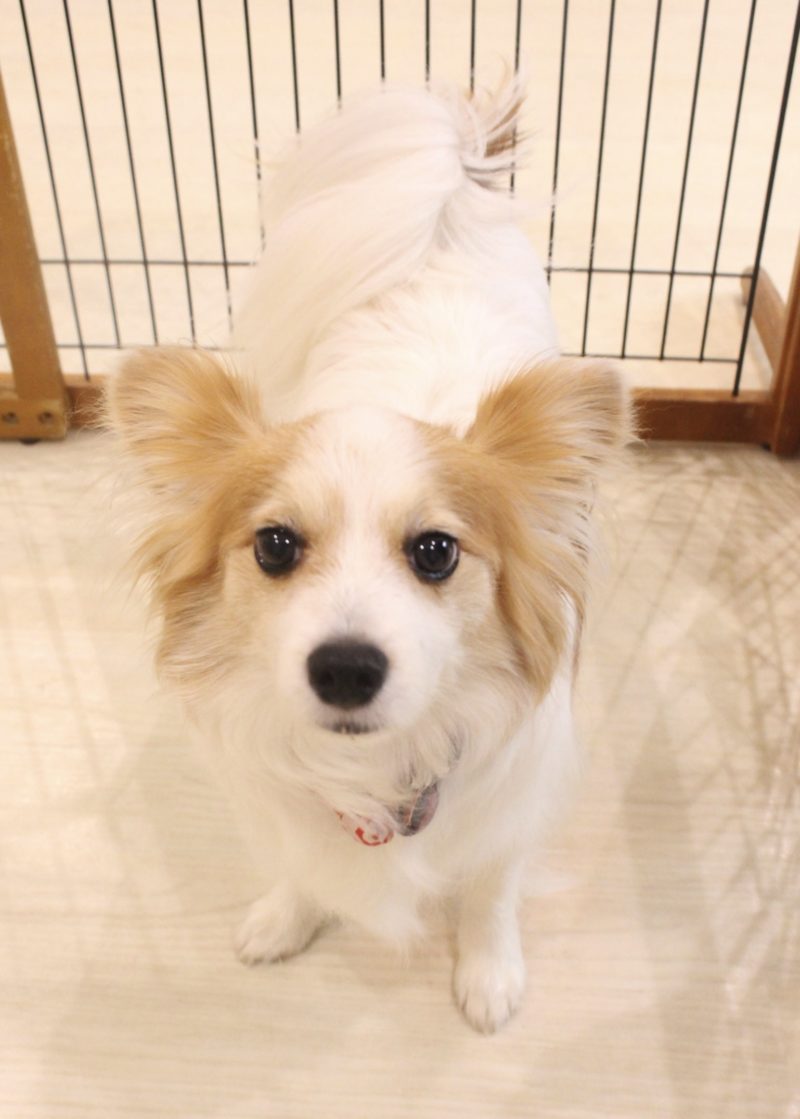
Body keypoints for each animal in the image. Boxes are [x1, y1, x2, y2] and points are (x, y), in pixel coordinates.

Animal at [107, 74, 630, 1033]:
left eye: (436, 552)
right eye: (276, 546)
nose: (345, 667)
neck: (377, 769)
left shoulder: (513, 802)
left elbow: (490, 887)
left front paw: (489, 973)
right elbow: (300, 864)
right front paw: (286, 914)